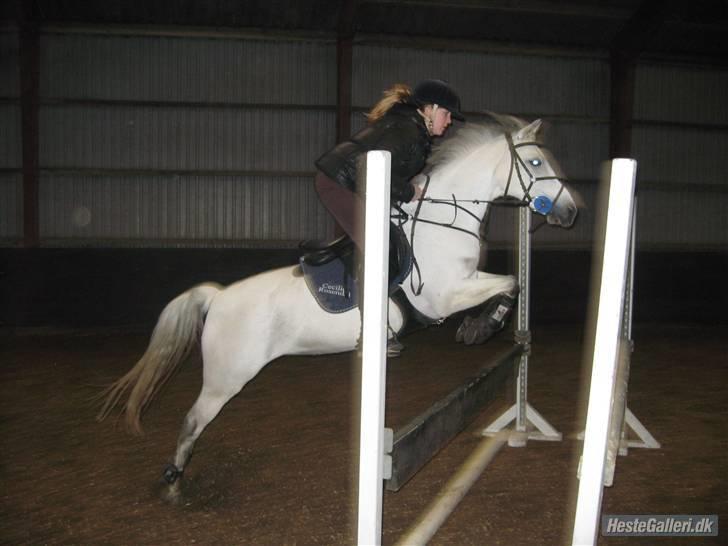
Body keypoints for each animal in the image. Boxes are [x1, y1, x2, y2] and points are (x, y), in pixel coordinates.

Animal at [96, 115, 576, 502]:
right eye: (536, 164)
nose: (570, 213)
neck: (445, 220)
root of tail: (218, 297)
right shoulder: (446, 295)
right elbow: (510, 283)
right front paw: (481, 327)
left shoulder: (464, 284)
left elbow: (511, 282)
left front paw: (489, 327)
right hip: (226, 376)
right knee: (193, 420)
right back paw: (173, 482)